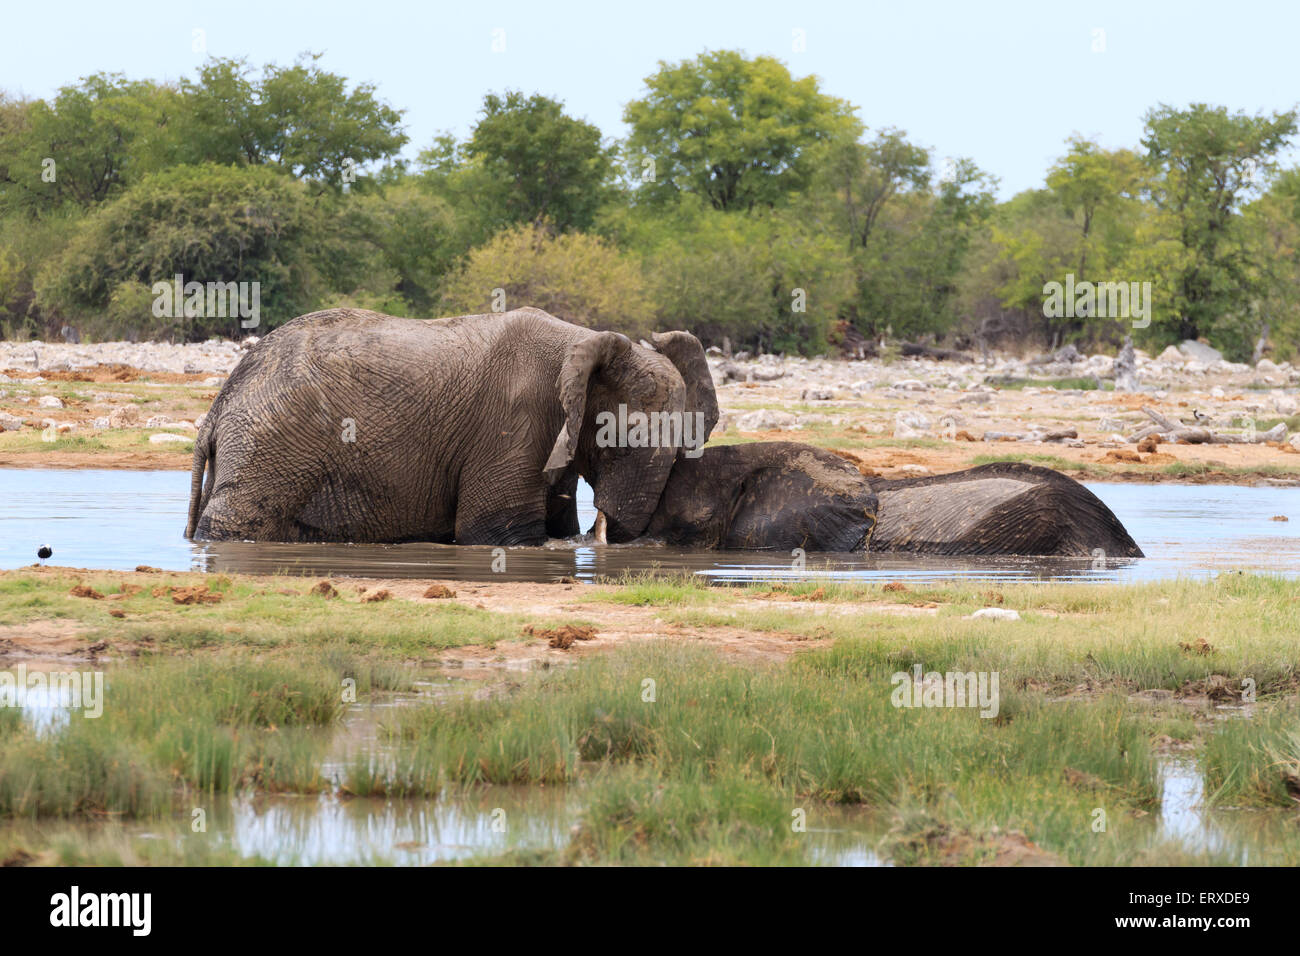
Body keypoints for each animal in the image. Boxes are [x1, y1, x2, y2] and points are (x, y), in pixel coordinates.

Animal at [184, 306, 717, 546]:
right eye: (619, 444)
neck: (581, 341)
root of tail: (217, 408)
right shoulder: (513, 422)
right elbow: (498, 532)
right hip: (267, 448)